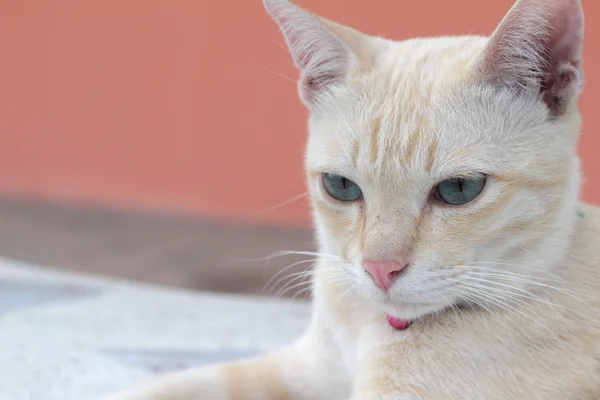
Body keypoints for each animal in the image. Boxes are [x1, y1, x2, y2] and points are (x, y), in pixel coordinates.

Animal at [104, 0, 600, 398]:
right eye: (341, 187)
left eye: (459, 190)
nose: (380, 270)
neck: (370, 328)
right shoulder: (302, 371)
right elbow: (170, 386)